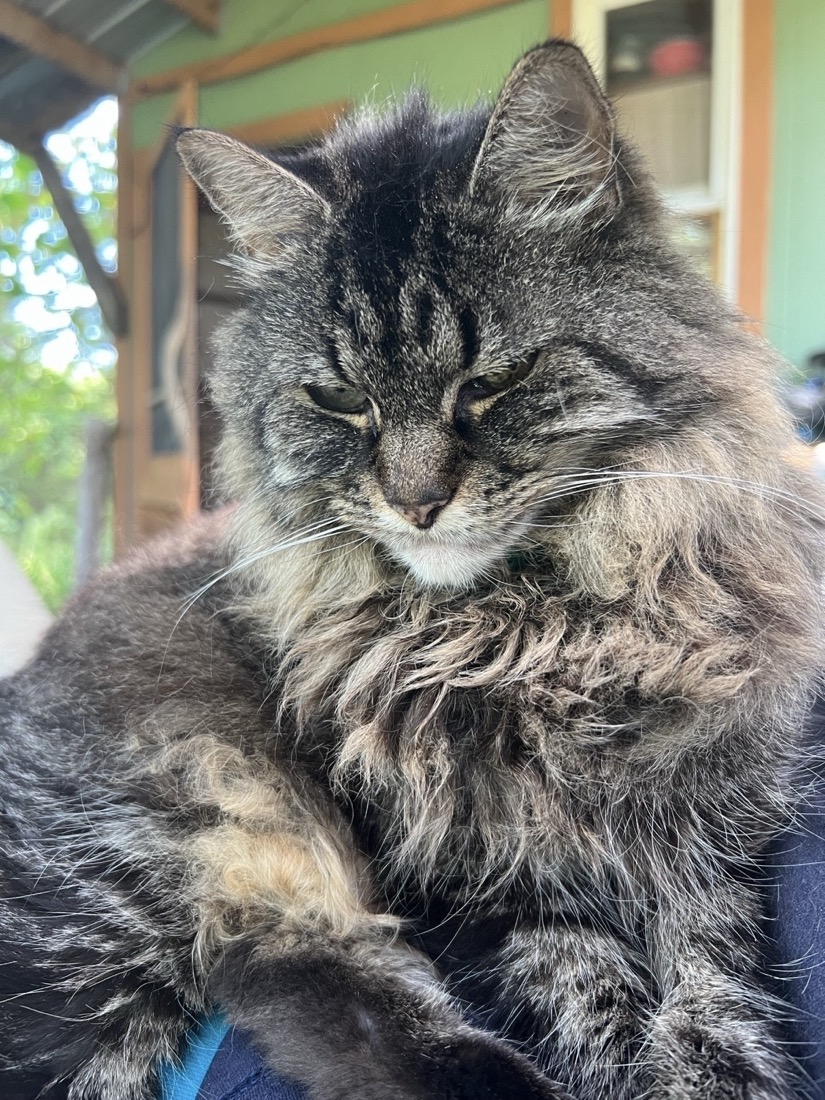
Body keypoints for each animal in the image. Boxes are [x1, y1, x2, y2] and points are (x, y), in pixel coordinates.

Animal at [1, 38, 825, 1100]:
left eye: (494, 381)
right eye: (339, 398)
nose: (416, 501)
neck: (522, 631)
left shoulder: (711, 831)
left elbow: (710, 985)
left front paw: (716, 1070)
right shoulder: (479, 881)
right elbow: (589, 1001)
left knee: (296, 976)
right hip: (165, 848)